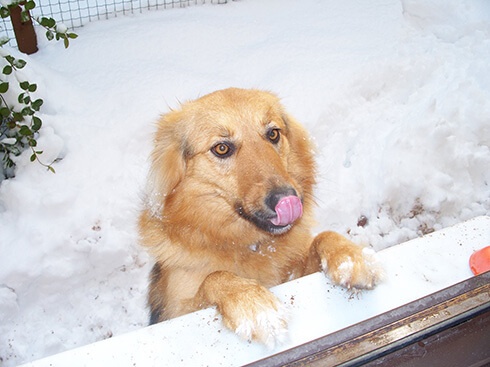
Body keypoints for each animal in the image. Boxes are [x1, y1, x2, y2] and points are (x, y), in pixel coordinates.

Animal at [139, 87, 382, 346]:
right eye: (222, 148)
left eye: (273, 134)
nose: (287, 199)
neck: (250, 244)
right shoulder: (176, 312)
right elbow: (214, 276)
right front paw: (251, 303)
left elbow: (322, 237)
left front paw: (351, 256)